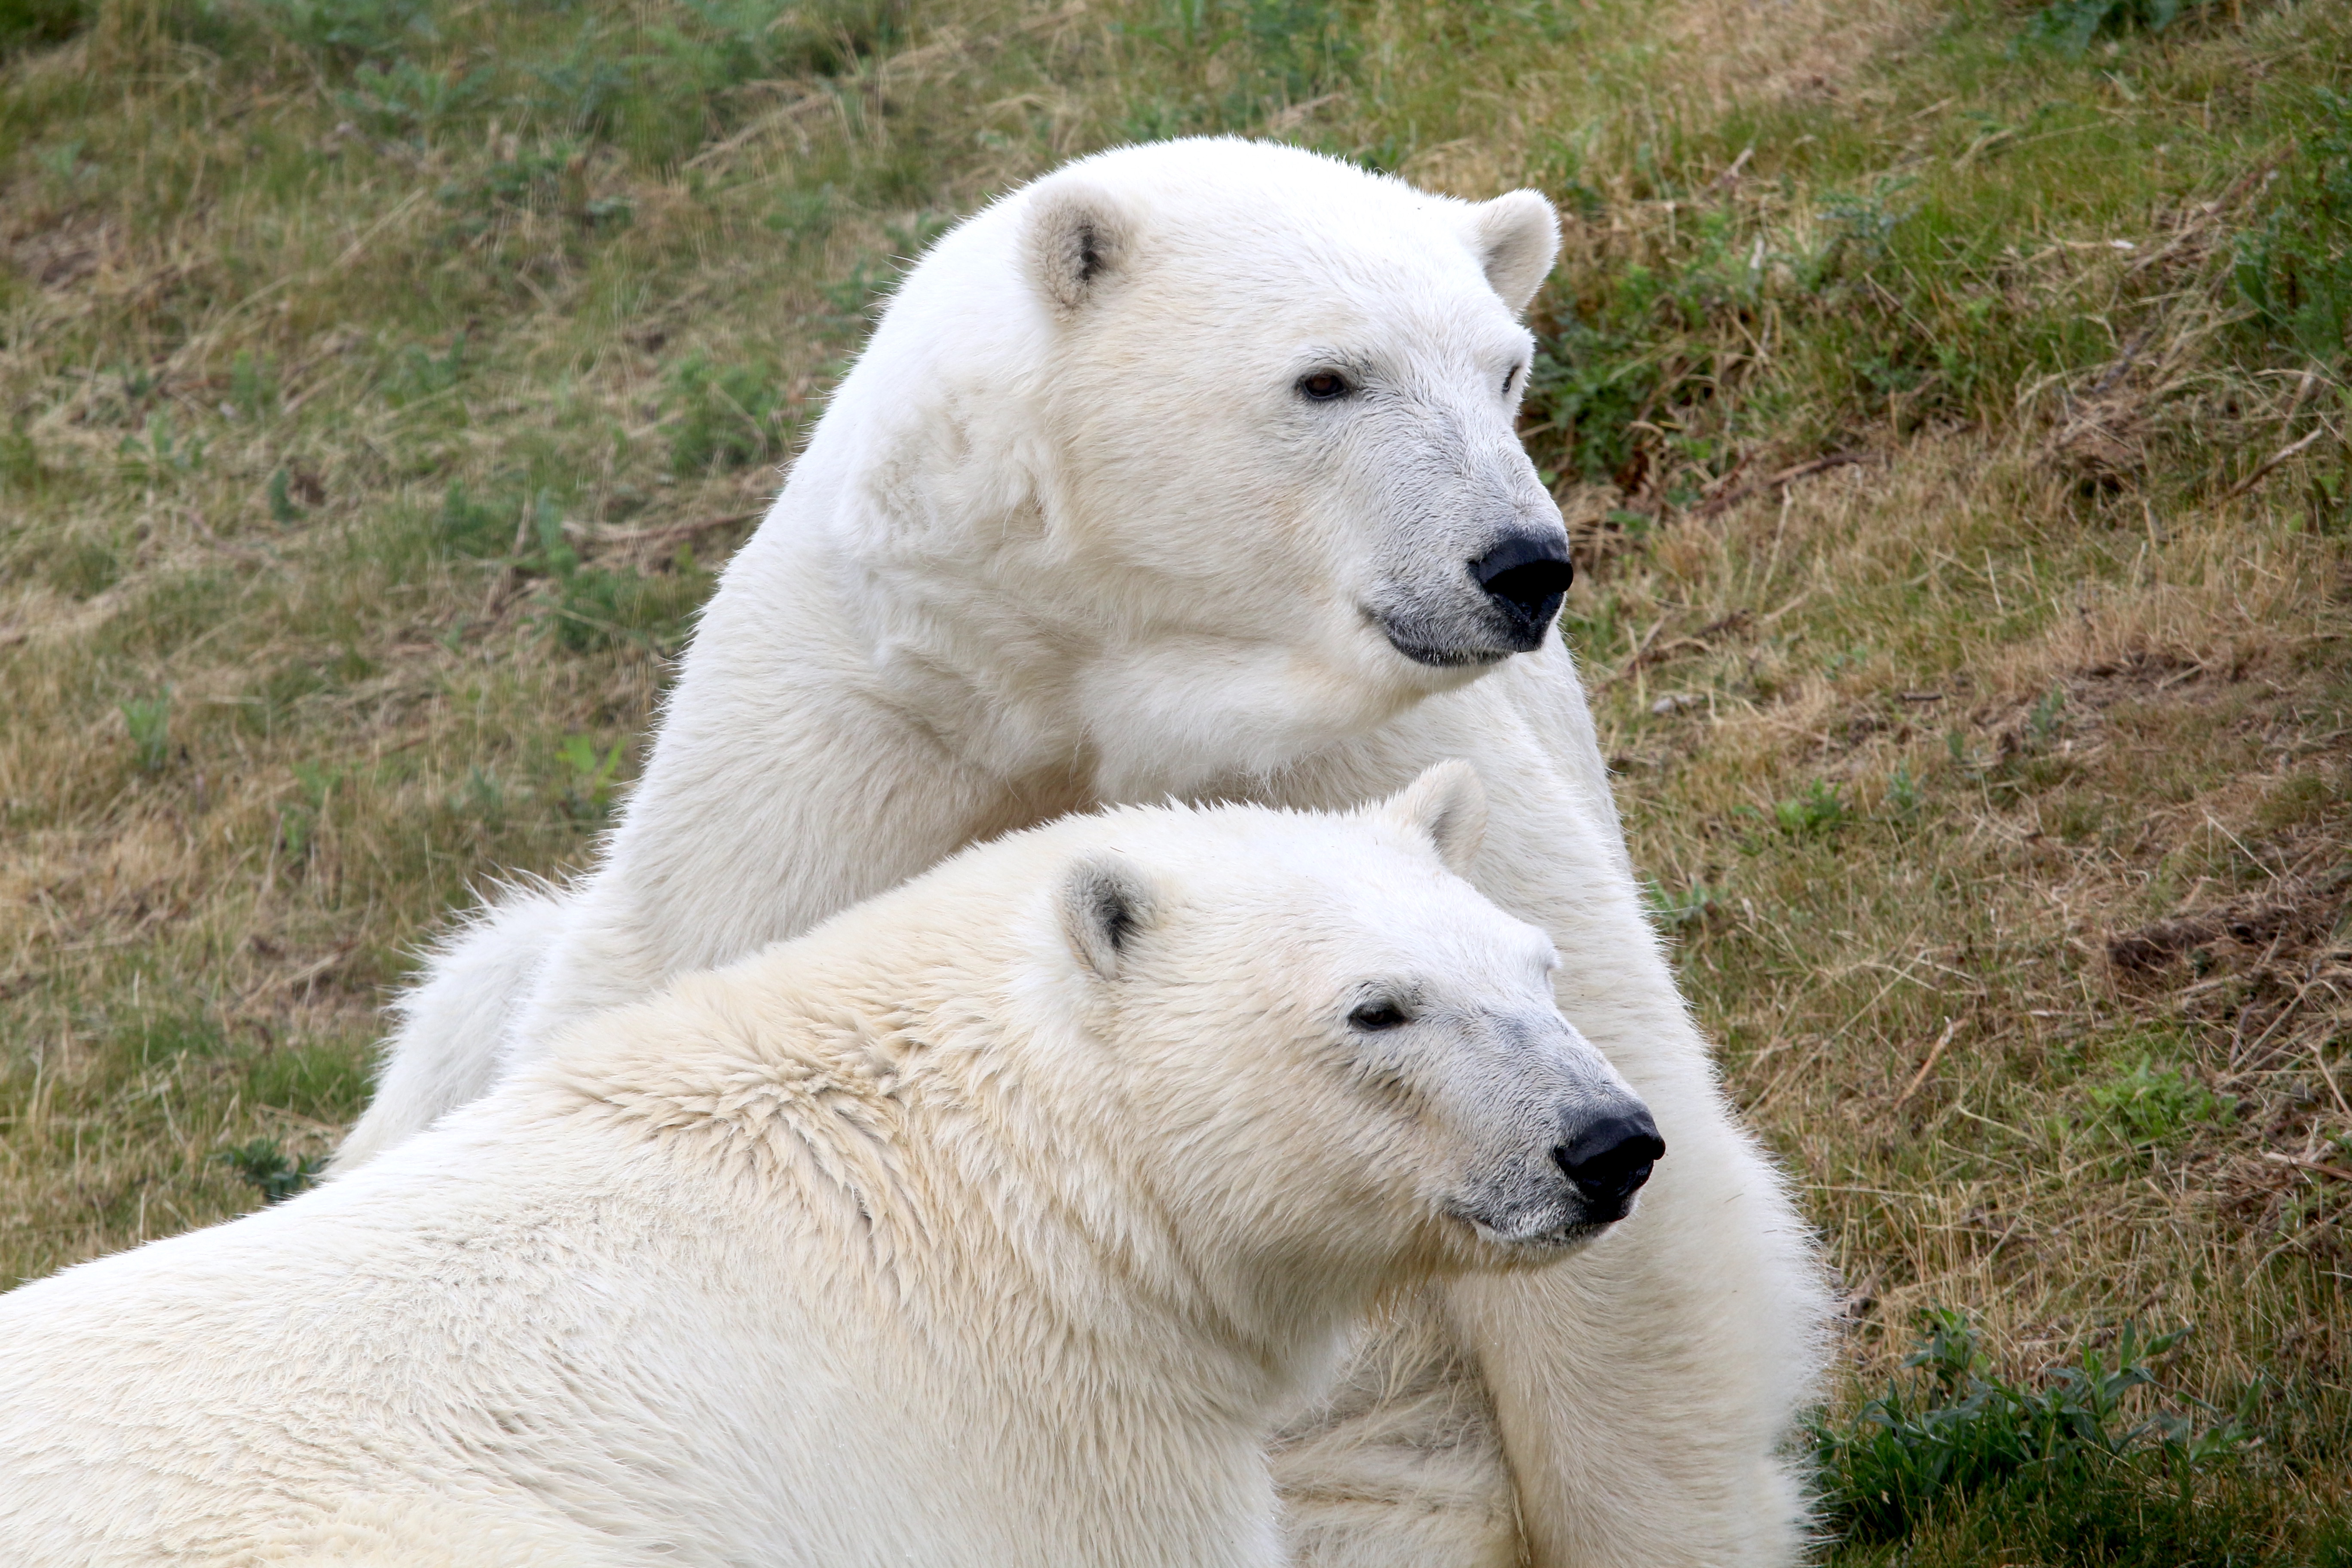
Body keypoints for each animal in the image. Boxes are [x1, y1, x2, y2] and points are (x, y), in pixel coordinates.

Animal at [341, 138, 1825, 1568]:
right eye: (1328, 378)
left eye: (1506, 368)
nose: (1522, 564)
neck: (1084, 681)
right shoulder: (852, 738)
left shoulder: (1360, 764)